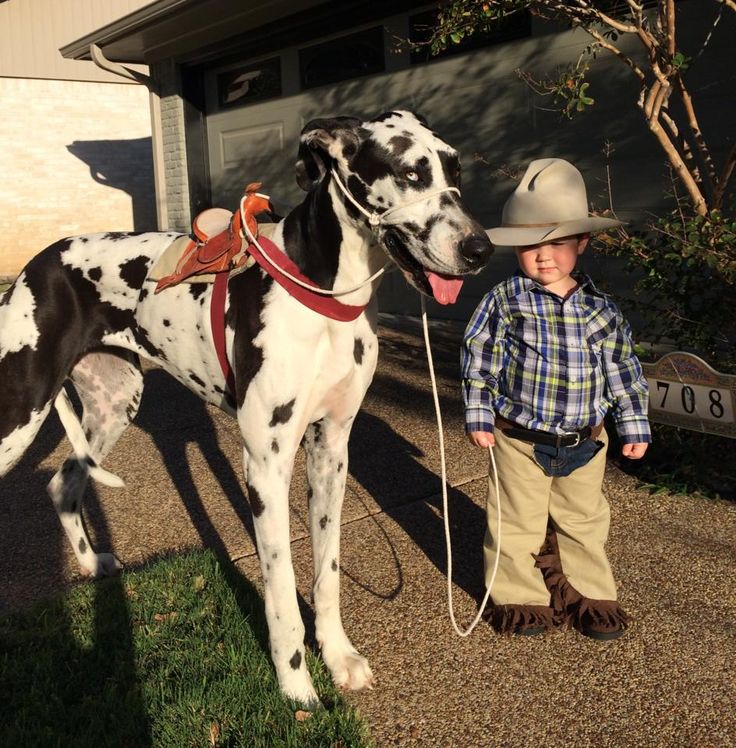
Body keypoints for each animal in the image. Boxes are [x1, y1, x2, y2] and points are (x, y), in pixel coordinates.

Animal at [2, 109, 494, 700]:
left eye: (455, 170)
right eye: (410, 173)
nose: (481, 250)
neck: (323, 292)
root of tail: (38, 262)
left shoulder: (331, 451)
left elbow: (327, 572)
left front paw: (338, 655)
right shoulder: (265, 465)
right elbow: (280, 589)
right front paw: (296, 686)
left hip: (116, 402)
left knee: (62, 482)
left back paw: (91, 562)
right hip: (18, 414)